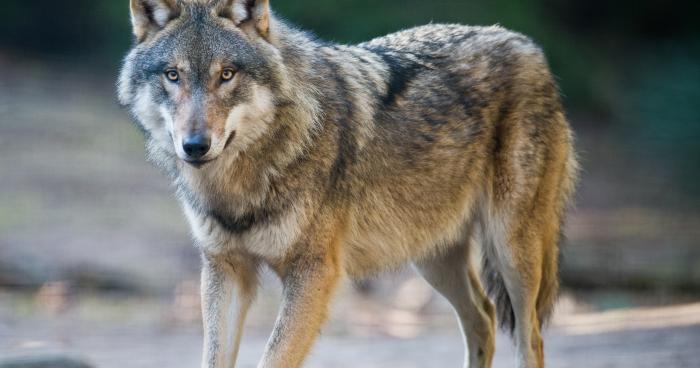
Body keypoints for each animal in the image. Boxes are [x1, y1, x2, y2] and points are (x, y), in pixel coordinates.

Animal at [119, 0, 580, 368]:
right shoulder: (225, 269)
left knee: (531, 337)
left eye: (227, 74)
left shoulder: (313, 274)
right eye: (173, 75)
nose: (194, 146)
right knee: (483, 318)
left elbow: (273, 357)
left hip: (511, 252)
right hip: (431, 256)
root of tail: (527, 44)